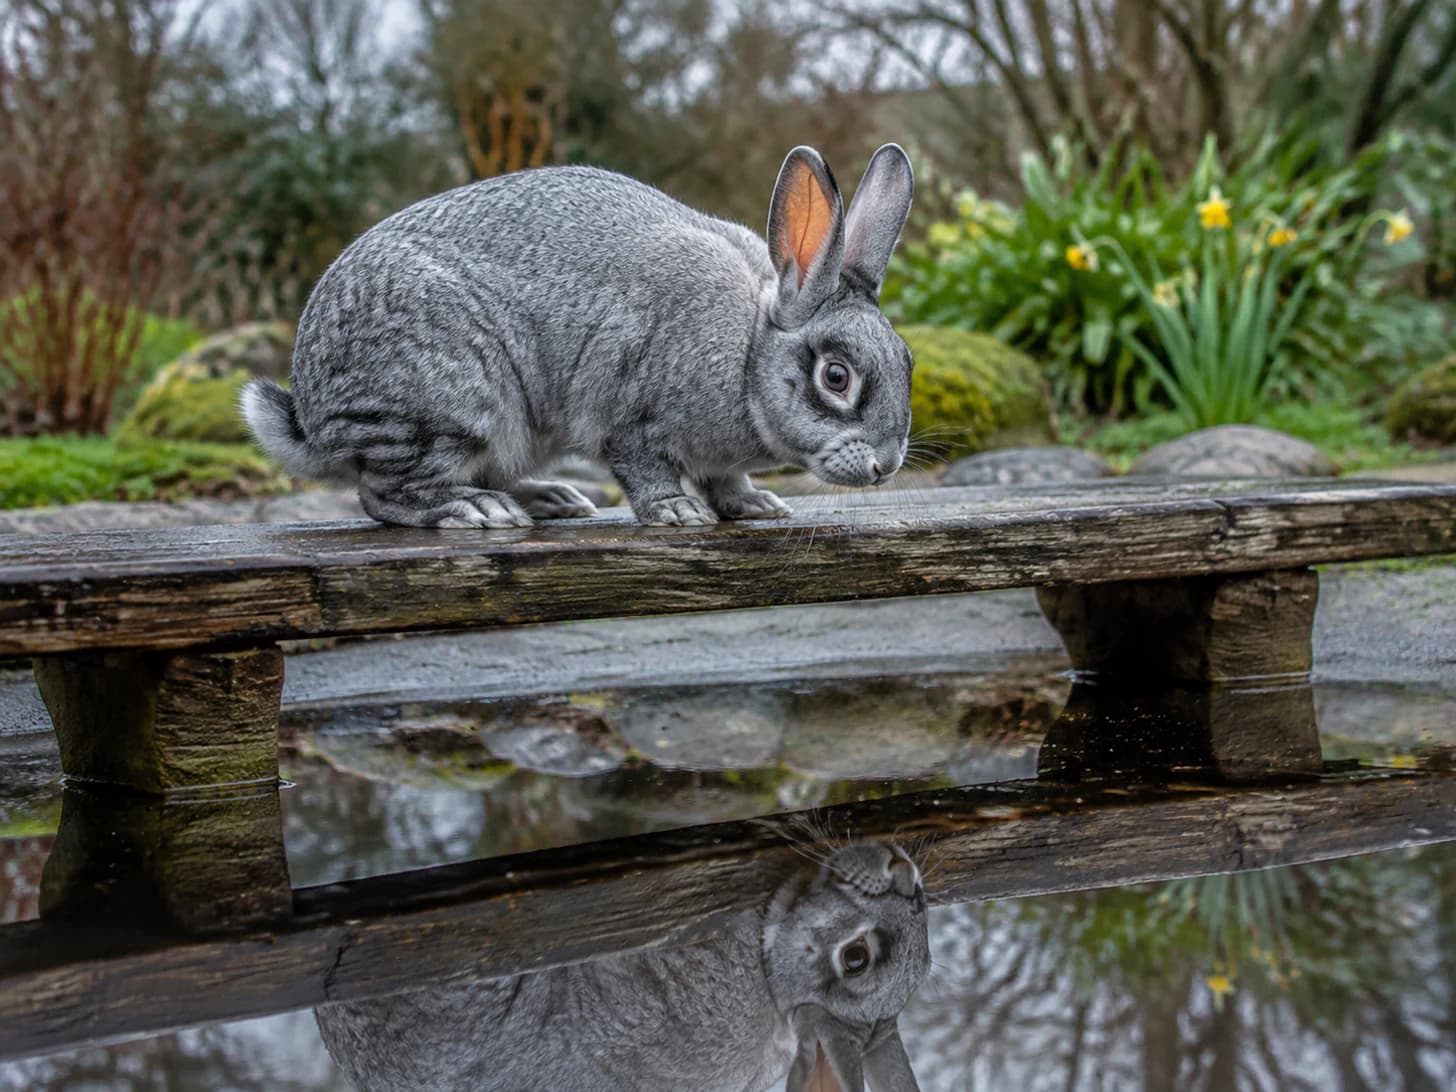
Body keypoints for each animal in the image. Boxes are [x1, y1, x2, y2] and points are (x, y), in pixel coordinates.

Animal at [240, 143, 915, 528]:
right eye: (836, 376)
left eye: (907, 360)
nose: (884, 467)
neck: (749, 354)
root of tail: (313, 419)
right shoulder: (631, 419)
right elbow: (646, 469)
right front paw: (678, 513)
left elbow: (726, 479)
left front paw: (753, 505)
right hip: (447, 406)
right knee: (381, 496)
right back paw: (475, 509)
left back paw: (551, 499)